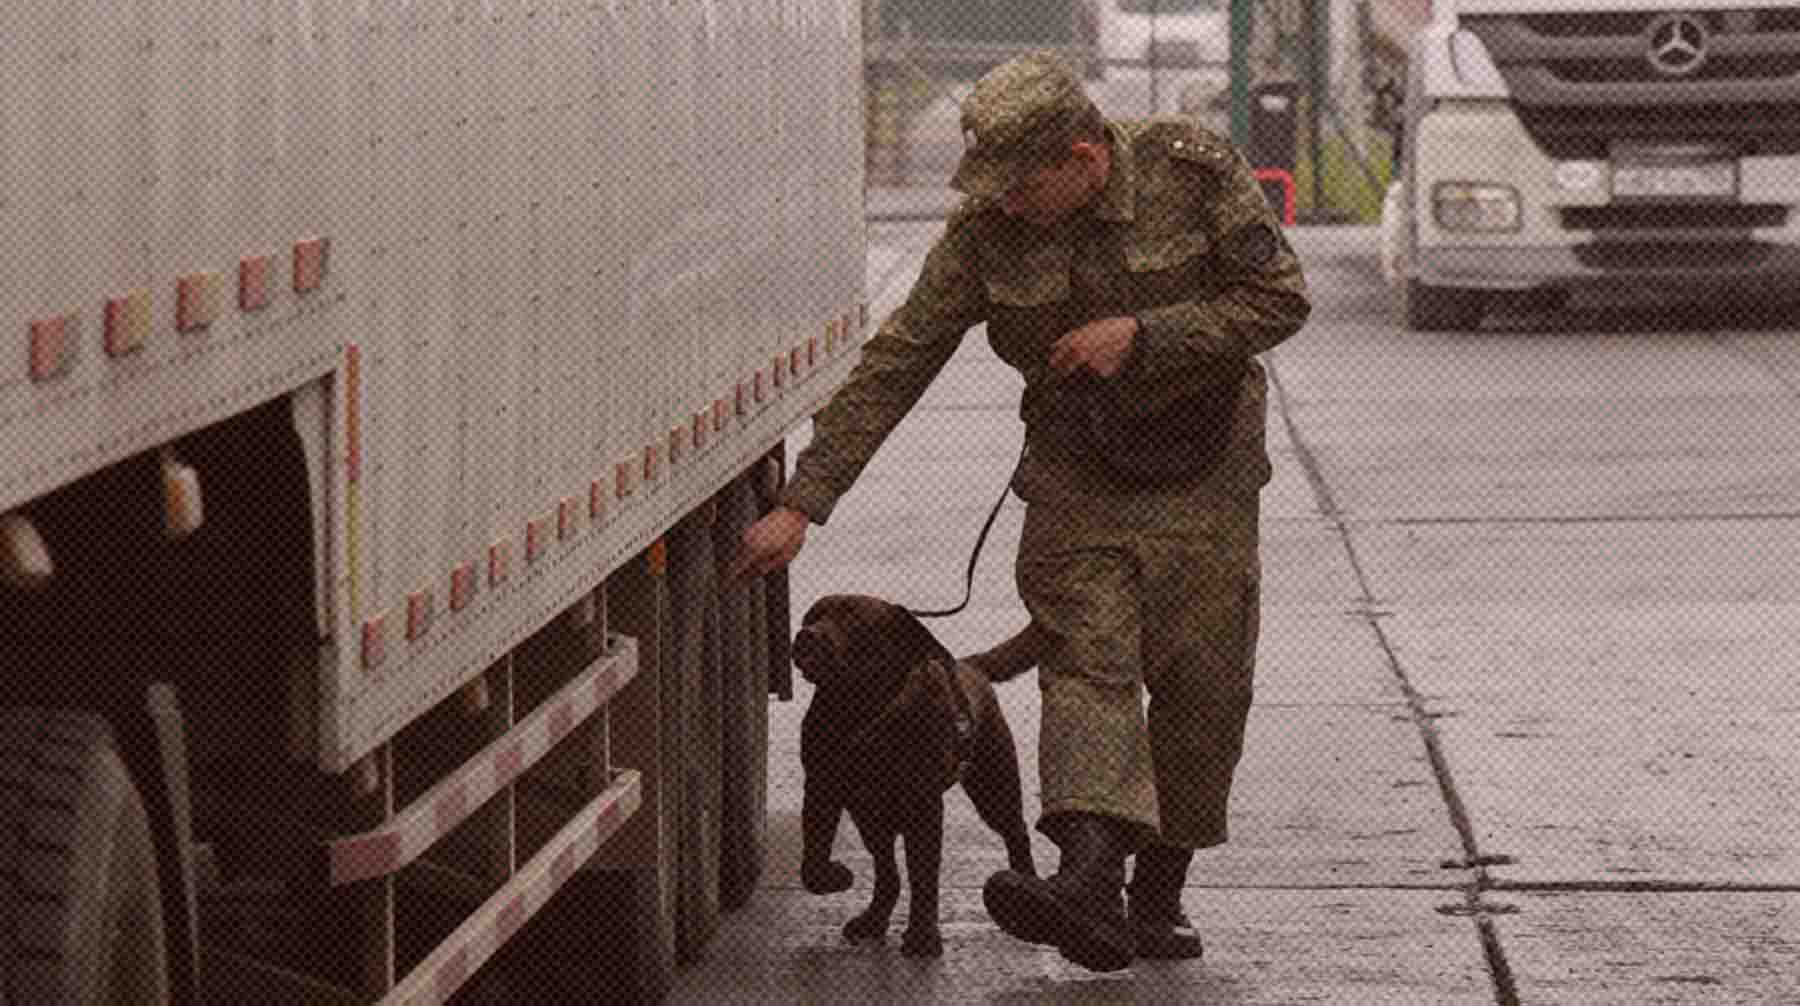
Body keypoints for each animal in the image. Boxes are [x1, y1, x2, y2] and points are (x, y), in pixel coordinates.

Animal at [795, 597, 1051, 957]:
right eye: (811, 617)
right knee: (887, 873)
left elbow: (923, 875)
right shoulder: (822, 789)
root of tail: (970, 666)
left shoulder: (923, 807)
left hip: (994, 788)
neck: (858, 715)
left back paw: (1024, 890)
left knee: (1017, 833)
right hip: (871, 820)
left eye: (854, 620)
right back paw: (873, 920)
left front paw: (922, 935)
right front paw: (835, 877)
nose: (806, 635)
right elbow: (813, 860)